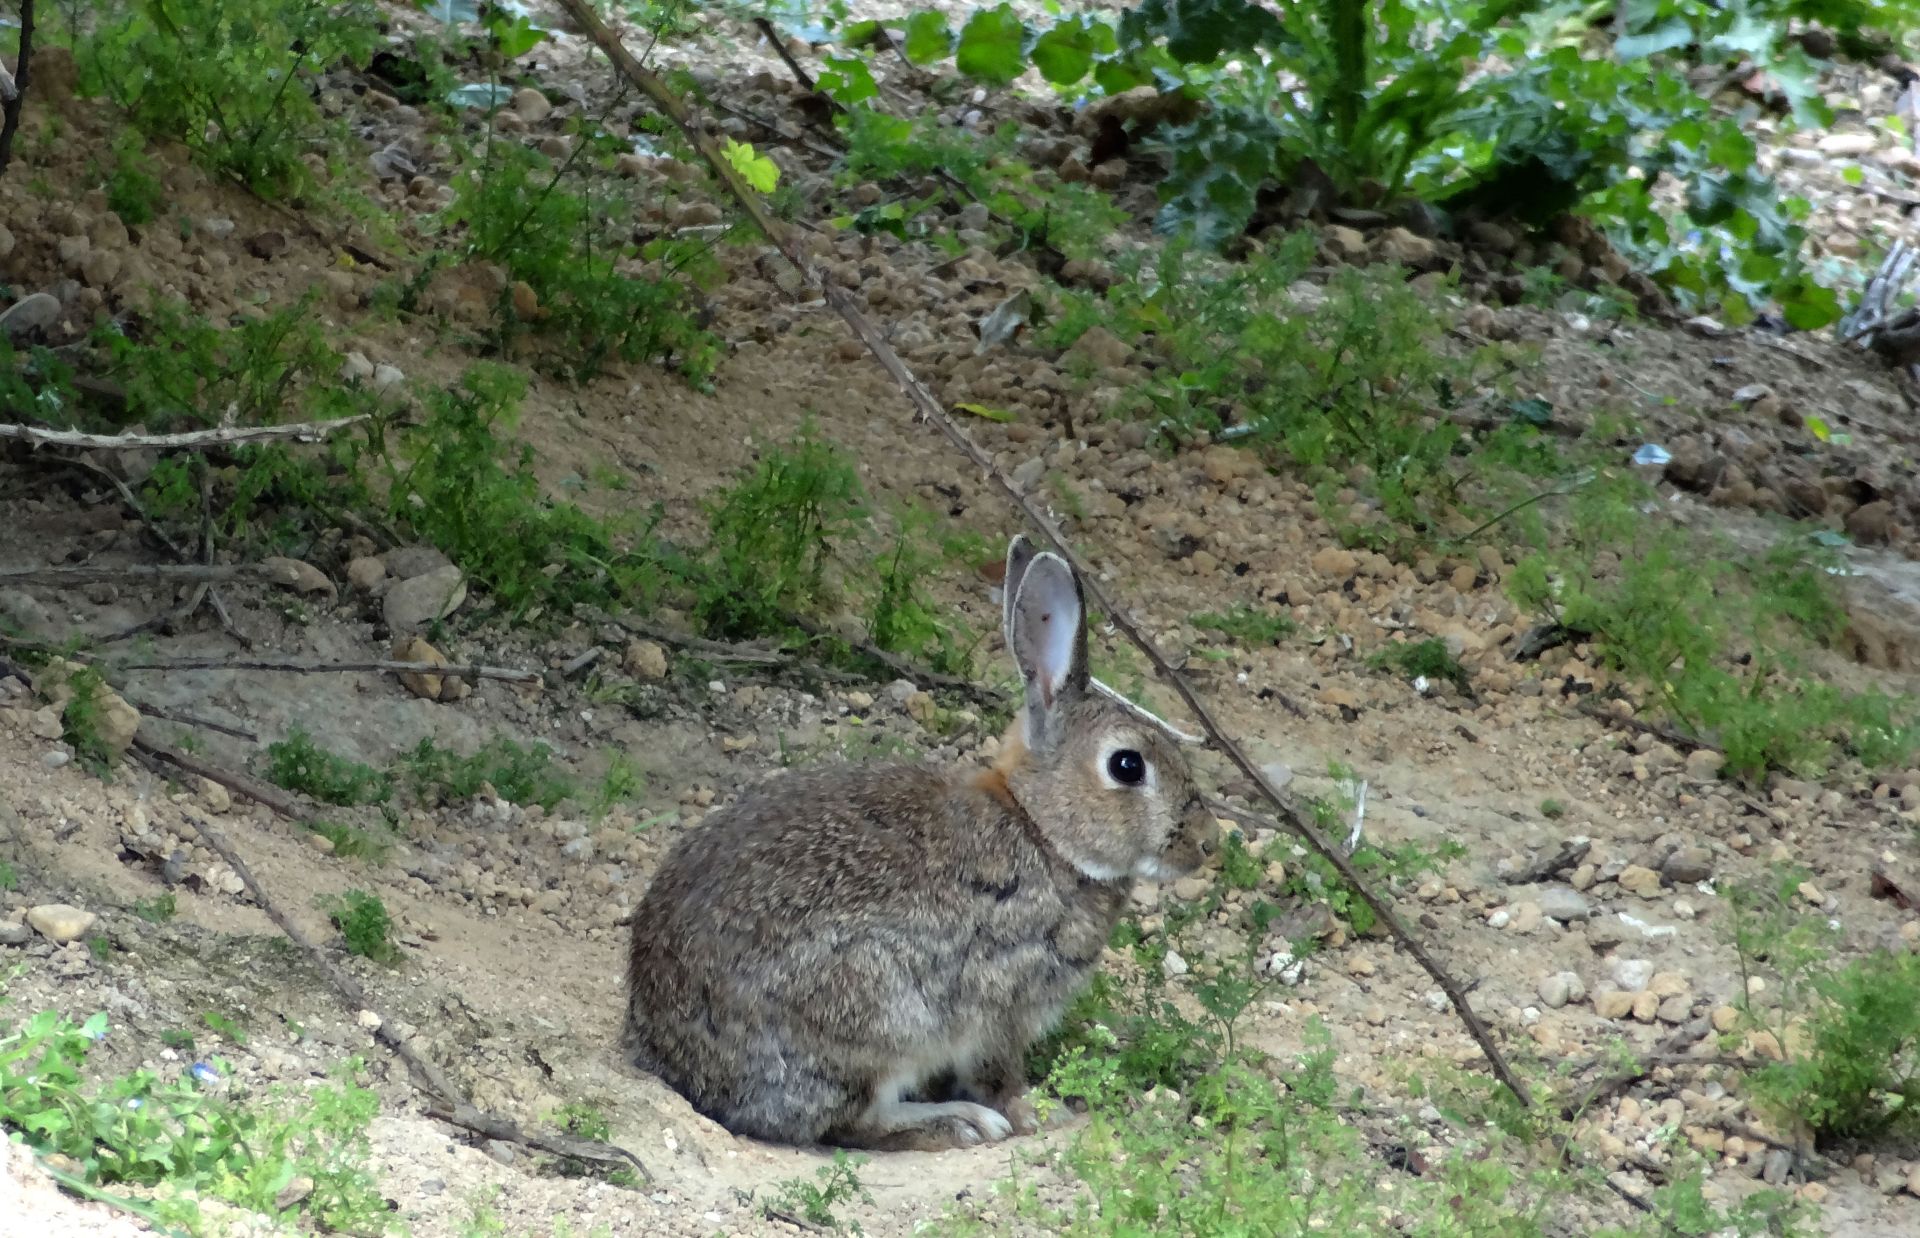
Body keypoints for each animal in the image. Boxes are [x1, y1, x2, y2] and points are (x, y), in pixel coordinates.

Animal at [621, 534, 1218, 1151]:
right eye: (1127, 766)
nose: (1208, 844)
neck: (1041, 829)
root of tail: (684, 1067)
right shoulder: (1001, 1000)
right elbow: (997, 1075)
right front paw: (1036, 1115)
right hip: (875, 1016)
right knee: (855, 1122)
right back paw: (959, 1122)